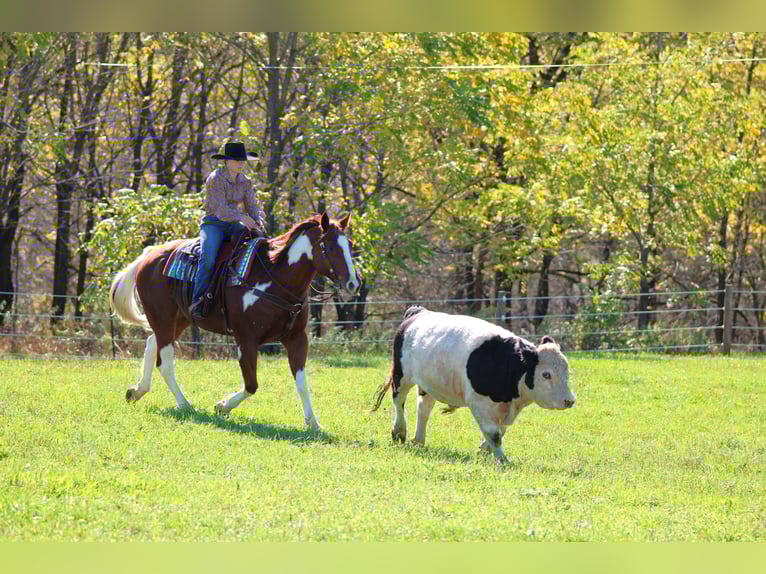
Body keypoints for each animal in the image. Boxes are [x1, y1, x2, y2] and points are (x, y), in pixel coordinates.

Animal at [109, 212, 360, 430]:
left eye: (349, 245)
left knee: (153, 344)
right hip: (162, 317)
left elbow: (302, 384)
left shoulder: (297, 339)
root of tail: (150, 255)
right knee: (166, 361)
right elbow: (251, 385)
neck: (276, 279)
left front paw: (313, 423)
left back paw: (137, 391)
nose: (353, 283)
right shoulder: (246, 340)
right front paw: (222, 406)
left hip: (178, 319)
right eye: (328, 246)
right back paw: (184, 404)